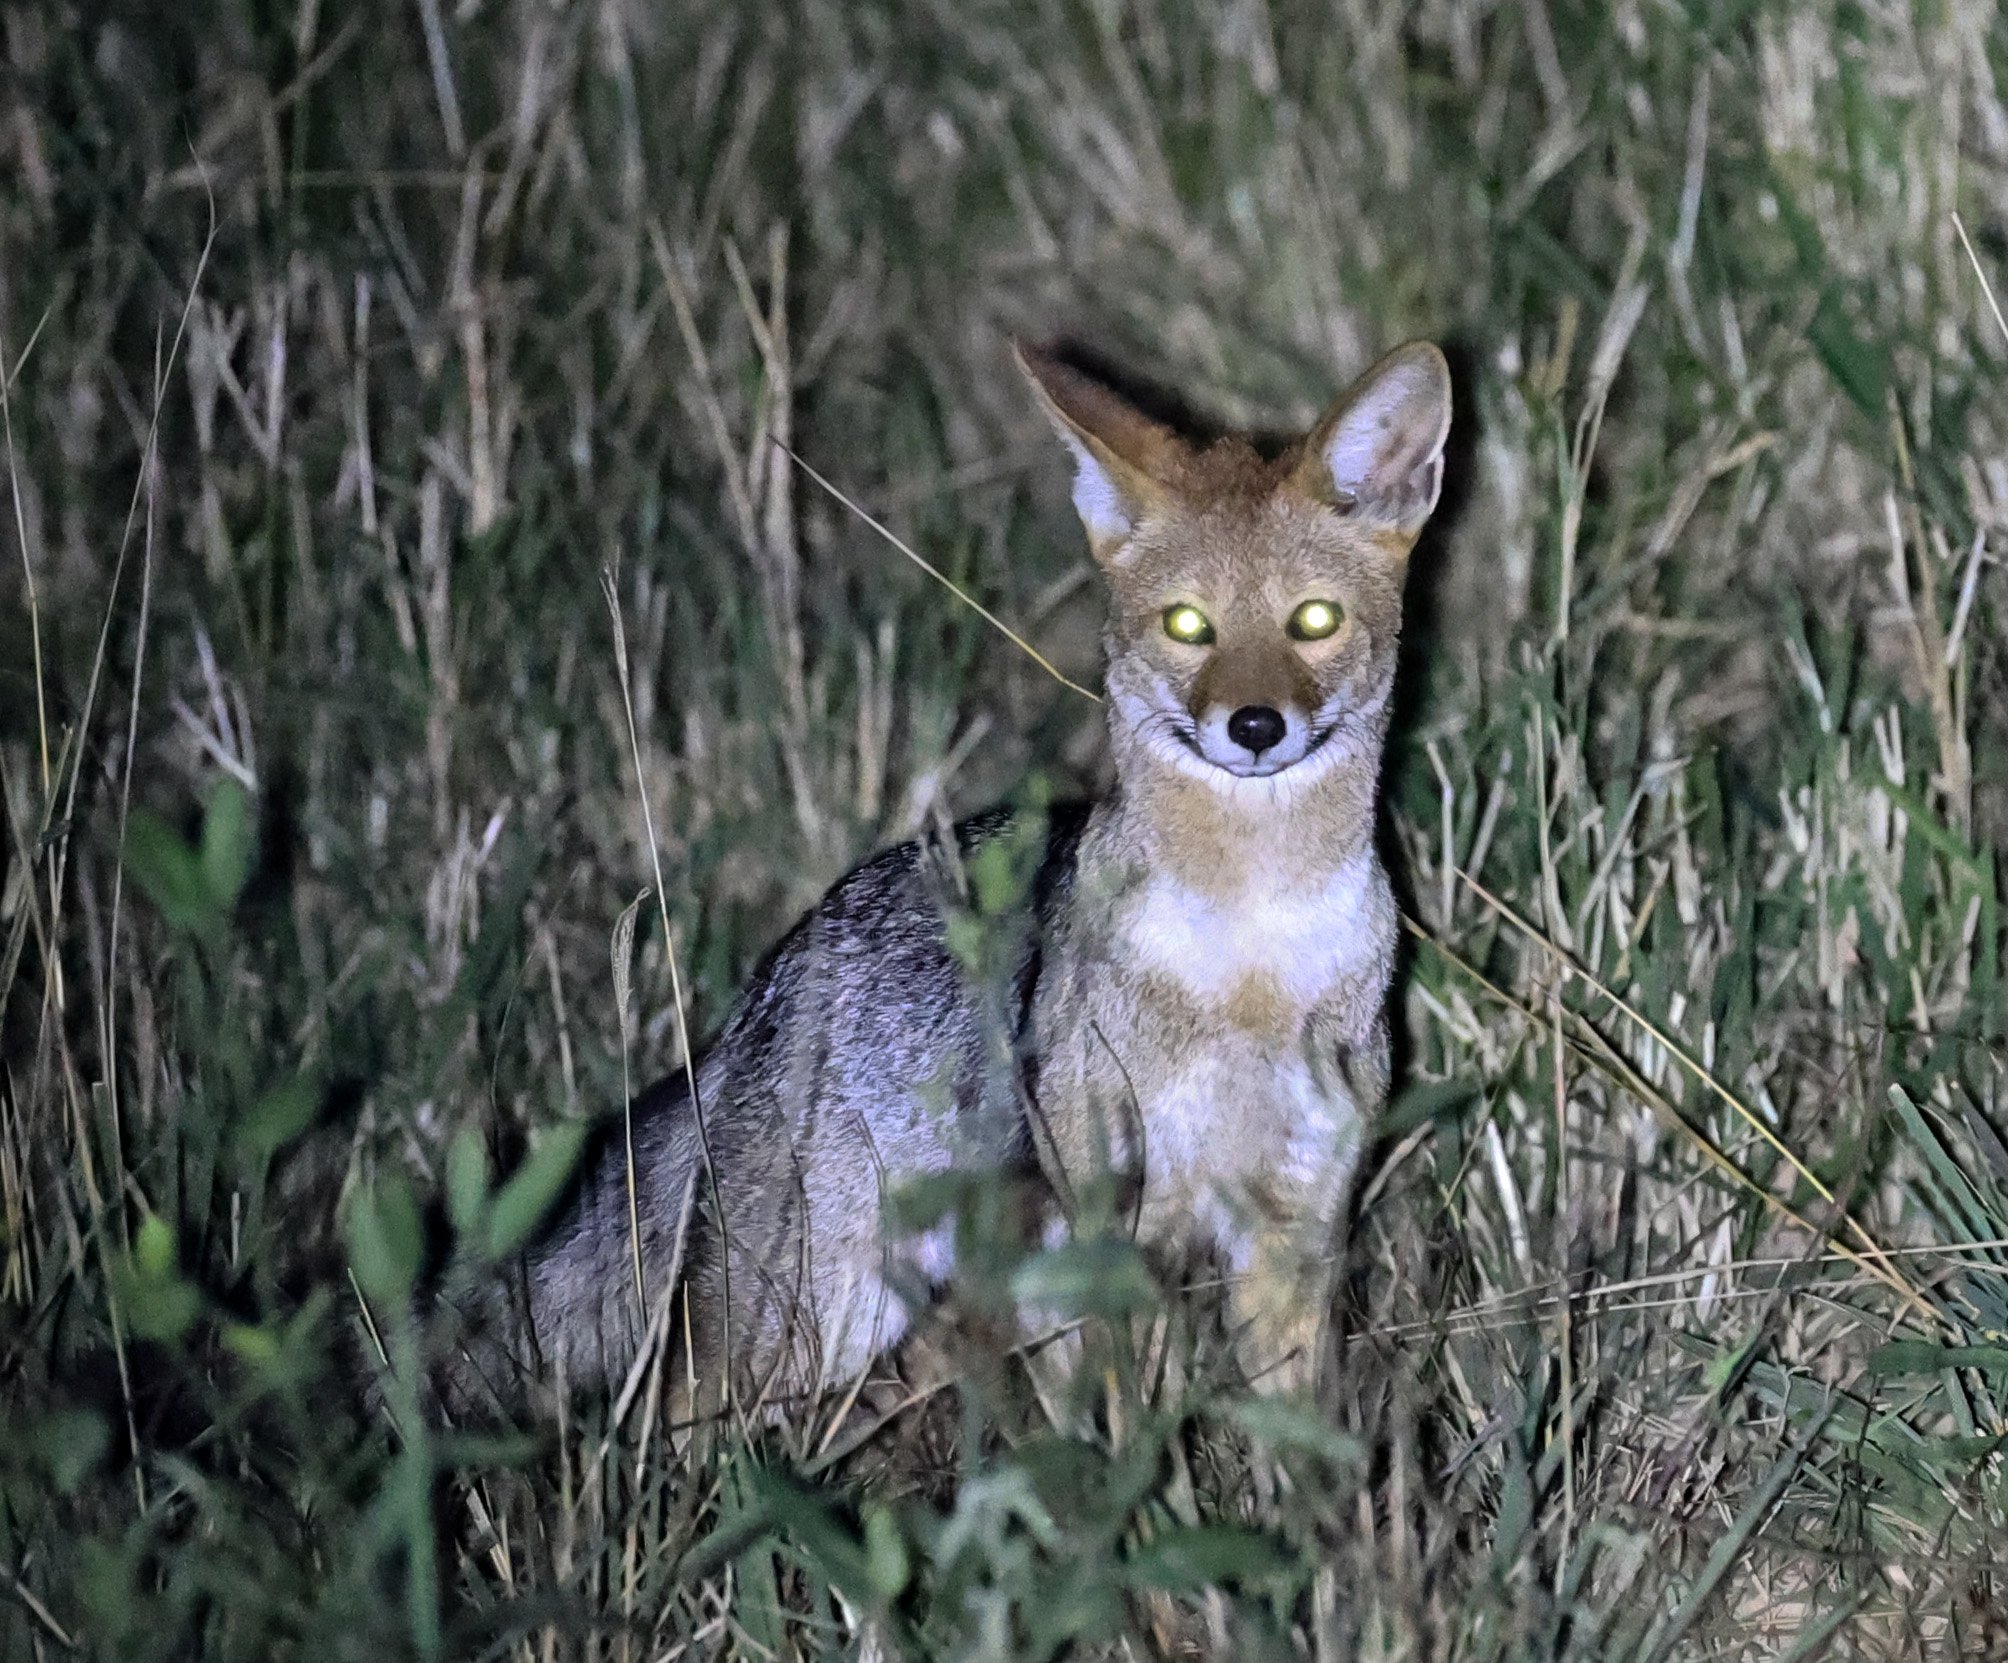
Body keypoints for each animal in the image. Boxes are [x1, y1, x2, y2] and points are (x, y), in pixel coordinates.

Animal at [433, 336, 1452, 1421]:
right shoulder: (1106, 1234)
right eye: (1188, 625)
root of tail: (760, 995)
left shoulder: (1293, 1237)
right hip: (802, 1330)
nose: (1255, 726)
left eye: (1313, 620)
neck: (1250, 957)